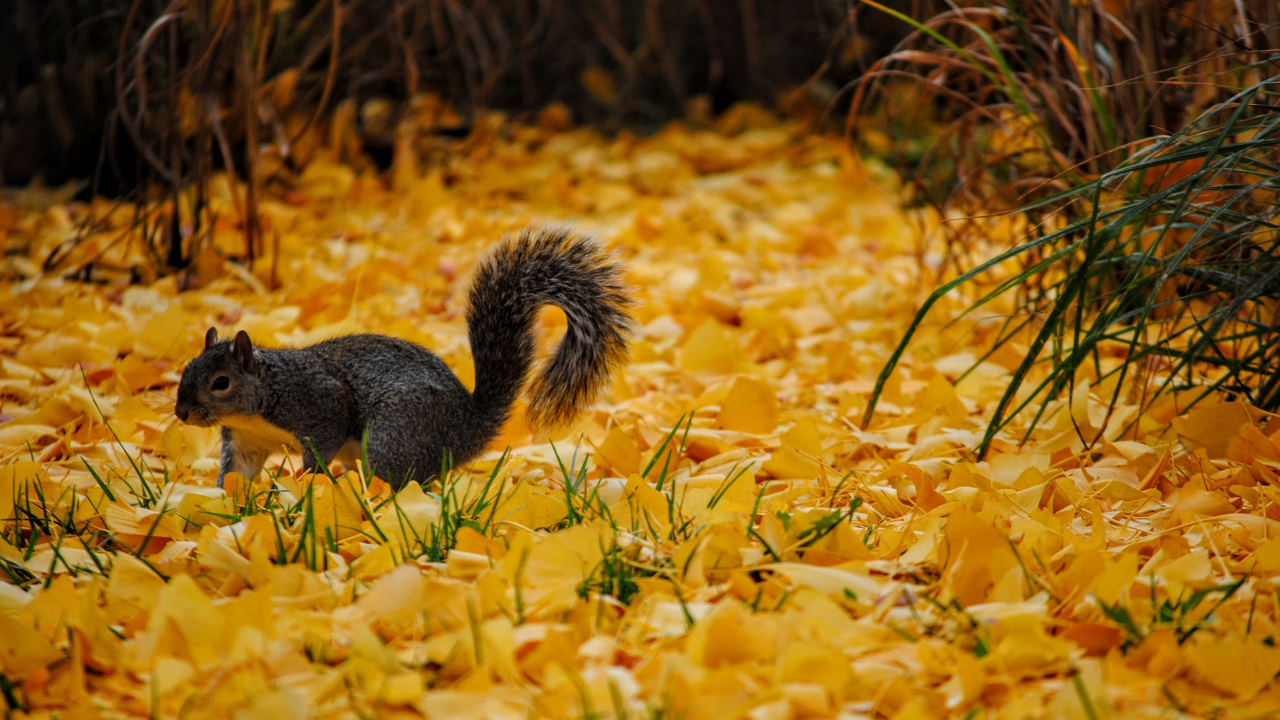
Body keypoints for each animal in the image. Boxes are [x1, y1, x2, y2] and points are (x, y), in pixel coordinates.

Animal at [175, 228, 634, 486]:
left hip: (394, 432)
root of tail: (467, 429)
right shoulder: (247, 441)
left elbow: (322, 442)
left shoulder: (317, 402)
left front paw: (308, 487)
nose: (181, 413)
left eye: (220, 383)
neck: (262, 396)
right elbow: (237, 474)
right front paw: (225, 505)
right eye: (185, 371)